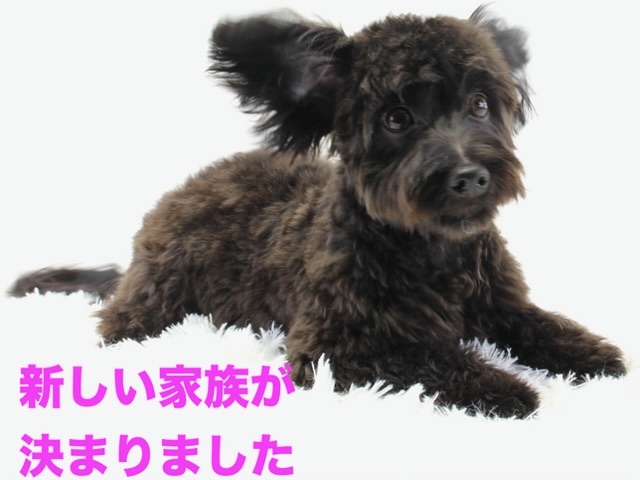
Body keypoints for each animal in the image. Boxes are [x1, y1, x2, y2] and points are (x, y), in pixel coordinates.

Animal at [10, 7, 626, 418]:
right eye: (396, 118)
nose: (470, 176)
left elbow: (539, 323)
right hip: (155, 303)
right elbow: (430, 357)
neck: (432, 252)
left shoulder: (498, 301)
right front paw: (503, 387)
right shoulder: (337, 347)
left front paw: (589, 353)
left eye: (479, 104)